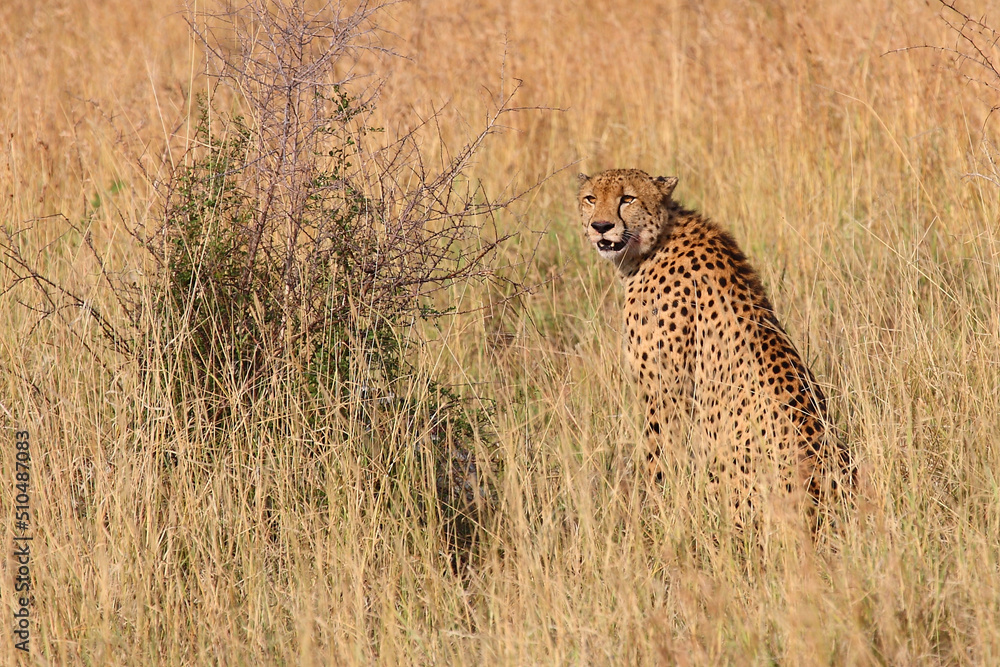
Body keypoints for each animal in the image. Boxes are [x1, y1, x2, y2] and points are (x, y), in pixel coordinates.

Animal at [578, 168, 853, 531]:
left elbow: (658, 459)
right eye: (590, 198)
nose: (600, 226)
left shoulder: (666, 394)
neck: (655, 243)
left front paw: (651, 515)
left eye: (628, 198)